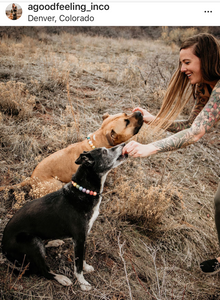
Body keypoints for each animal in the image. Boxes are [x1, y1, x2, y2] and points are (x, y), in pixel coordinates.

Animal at [0, 112, 143, 195]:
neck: (97, 140)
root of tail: (31, 179)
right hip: (56, 184)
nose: (139, 112)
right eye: (126, 122)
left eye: (126, 113)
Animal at [1, 145, 128, 290]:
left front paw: (86, 267)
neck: (83, 190)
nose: (124, 145)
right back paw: (61, 278)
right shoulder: (79, 238)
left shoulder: (83, 237)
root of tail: (3, 248)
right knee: (44, 271)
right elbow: (77, 266)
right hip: (32, 243)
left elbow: (82, 258)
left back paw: (55, 242)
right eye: (104, 151)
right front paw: (83, 284)